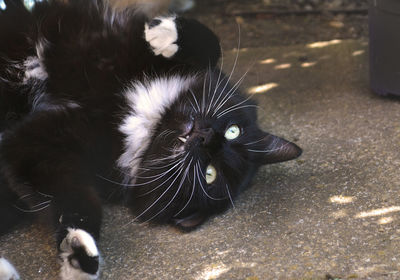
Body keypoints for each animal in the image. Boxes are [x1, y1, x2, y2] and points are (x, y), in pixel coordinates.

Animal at [0, 0, 302, 278]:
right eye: (233, 131)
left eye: (210, 174)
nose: (205, 138)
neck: (152, 119)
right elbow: (212, 45)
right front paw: (164, 35)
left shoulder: (41, 149)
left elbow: (72, 198)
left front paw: (79, 252)